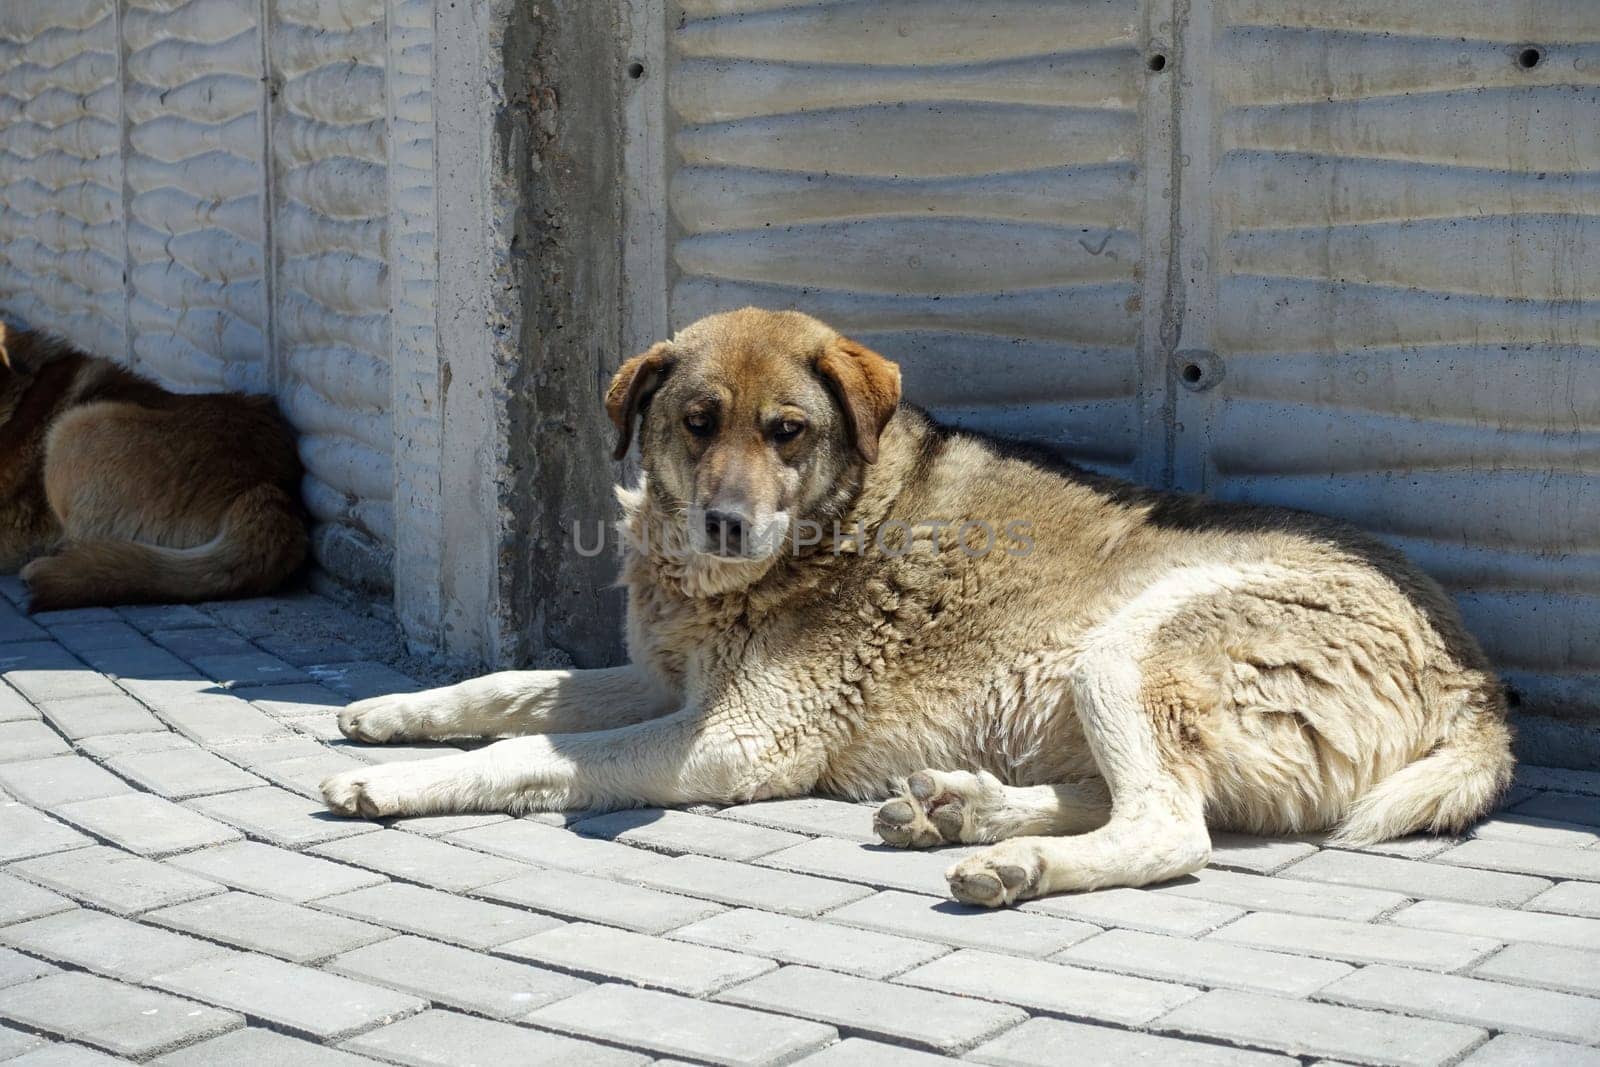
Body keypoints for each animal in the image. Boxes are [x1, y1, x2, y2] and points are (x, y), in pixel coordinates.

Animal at [324, 303, 1510, 908]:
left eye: (788, 431)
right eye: (697, 422)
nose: (725, 525)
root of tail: (1475, 678)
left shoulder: (734, 740)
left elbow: (524, 755)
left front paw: (395, 782)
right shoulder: (662, 680)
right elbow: (509, 686)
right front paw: (389, 716)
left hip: (1128, 648)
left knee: (1174, 830)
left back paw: (1013, 859)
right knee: (1152, 802)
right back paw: (959, 808)